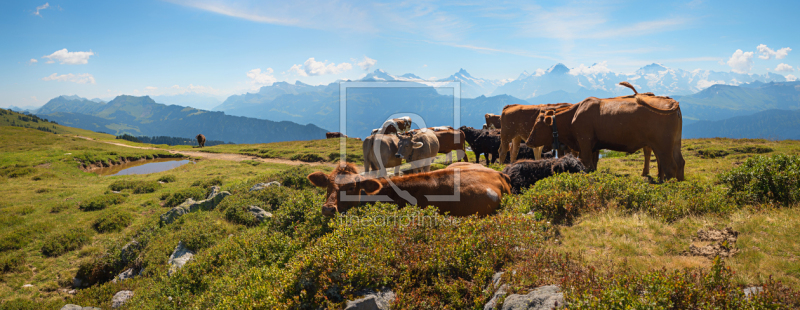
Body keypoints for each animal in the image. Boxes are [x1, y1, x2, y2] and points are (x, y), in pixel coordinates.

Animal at [524, 81, 688, 180]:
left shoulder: (584, 143)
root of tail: (671, 101)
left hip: (663, 145)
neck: (573, 115)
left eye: (537, 126)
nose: (528, 141)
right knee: (679, 162)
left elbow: (586, 162)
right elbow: (593, 164)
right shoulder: (593, 146)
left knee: (669, 165)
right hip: (674, 143)